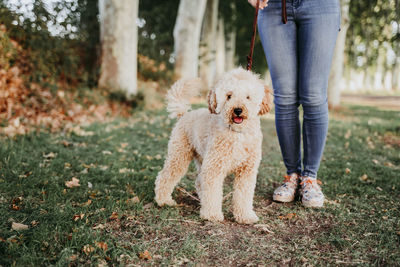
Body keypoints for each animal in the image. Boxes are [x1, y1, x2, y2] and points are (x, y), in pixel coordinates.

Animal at [153, 67, 272, 224]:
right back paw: (163, 200)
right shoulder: (214, 168)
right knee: (165, 176)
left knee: (198, 181)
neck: (237, 133)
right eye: (229, 96)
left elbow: (244, 195)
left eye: (248, 97)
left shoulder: (247, 171)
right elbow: (213, 191)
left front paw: (245, 216)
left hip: (201, 158)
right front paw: (212, 214)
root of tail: (184, 114)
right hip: (179, 155)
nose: (238, 110)